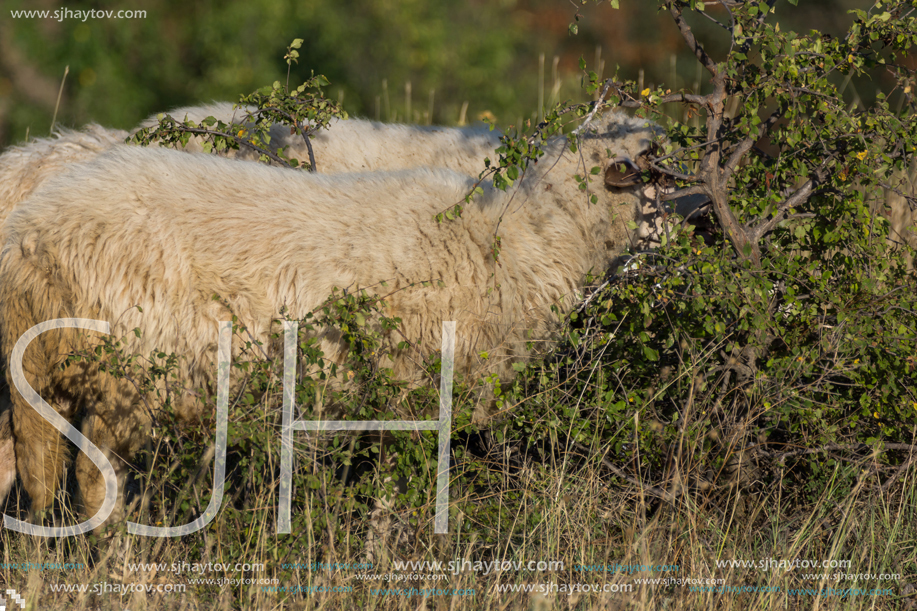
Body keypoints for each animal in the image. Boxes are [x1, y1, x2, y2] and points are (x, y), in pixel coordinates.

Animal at [0, 112, 660, 528]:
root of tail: (31, 233)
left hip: (33, 372)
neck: (524, 237)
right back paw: (115, 551)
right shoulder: (413, 391)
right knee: (91, 479)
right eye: (653, 162)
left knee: (24, 467)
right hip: (128, 375)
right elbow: (400, 491)